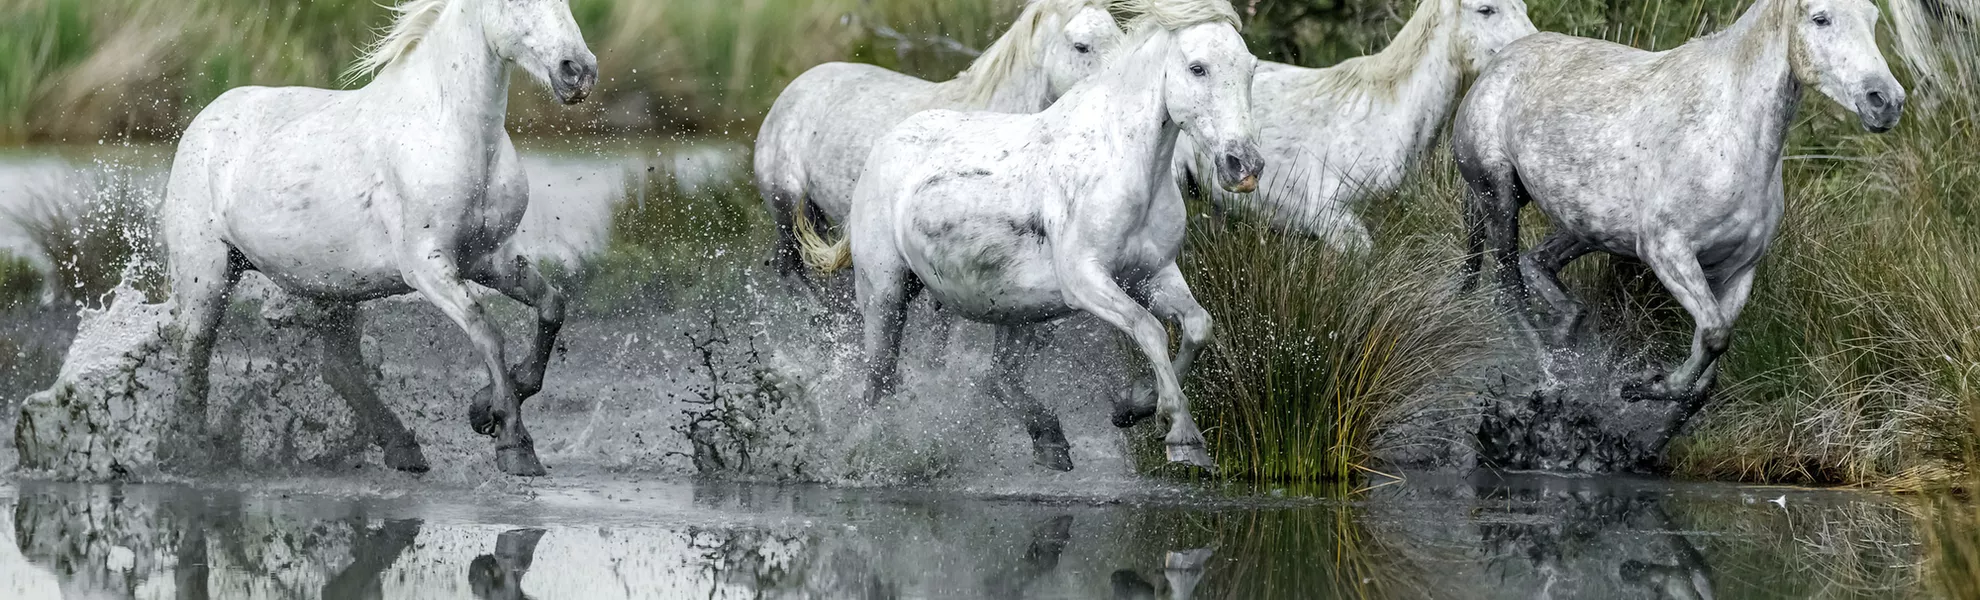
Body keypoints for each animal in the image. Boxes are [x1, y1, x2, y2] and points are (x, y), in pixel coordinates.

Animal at [159, 0, 594, 479]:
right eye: (513, 3)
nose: (578, 71)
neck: (454, 133)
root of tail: (203, 120)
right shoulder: (426, 265)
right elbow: (486, 332)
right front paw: (514, 445)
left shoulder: (490, 256)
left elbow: (553, 306)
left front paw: (484, 410)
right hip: (208, 276)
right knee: (194, 353)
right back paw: (194, 453)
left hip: (333, 285)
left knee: (338, 368)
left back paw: (403, 448)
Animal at [823, 0, 1259, 471]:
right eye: (1198, 68)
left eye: (1250, 67)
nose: (1244, 166)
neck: (1122, 166)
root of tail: (885, 143)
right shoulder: (1086, 280)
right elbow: (1150, 330)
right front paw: (1181, 432)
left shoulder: (1152, 275)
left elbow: (1198, 326)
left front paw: (1134, 407)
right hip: (885, 295)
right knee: (880, 383)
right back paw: (876, 451)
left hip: (1018, 310)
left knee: (998, 378)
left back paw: (1049, 438)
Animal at [1457, 0, 1900, 411]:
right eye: (1820, 18)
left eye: (1874, 18)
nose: (1886, 101)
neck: (1728, 136)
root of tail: (1497, 65)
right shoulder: (1666, 250)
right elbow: (1715, 335)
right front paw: (1642, 387)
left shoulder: (1739, 270)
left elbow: (1708, 361)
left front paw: (1657, 395)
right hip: (1498, 195)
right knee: (1507, 289)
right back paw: (1551, 379)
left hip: (1585, 226)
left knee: (1537, 263)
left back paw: (1567, 334)